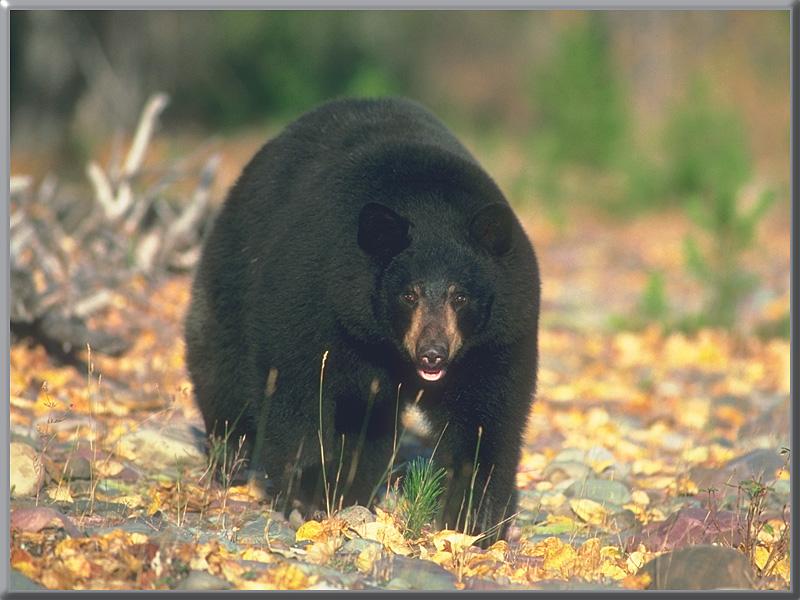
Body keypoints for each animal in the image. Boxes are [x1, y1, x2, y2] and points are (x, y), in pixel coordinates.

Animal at [184, 98, 540, 540]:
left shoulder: (497, 336)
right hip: (234, 268)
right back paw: (230, 459)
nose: (433, 353)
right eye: (409, 294)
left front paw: (473, 518)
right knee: (221, 364)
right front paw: (309, 494)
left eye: (460, 296)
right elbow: (297, 387)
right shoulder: (317, 297)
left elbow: (486, 415)